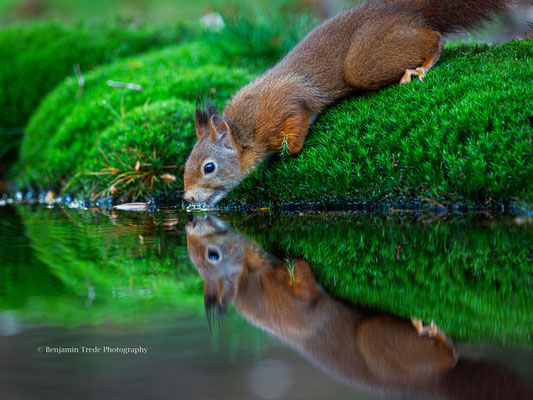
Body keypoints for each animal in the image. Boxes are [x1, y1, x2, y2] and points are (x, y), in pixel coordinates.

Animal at [185, 0, 510, 205]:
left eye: (209, 167)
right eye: (186, 164)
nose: (186, 198)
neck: (245, 130)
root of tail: (400, 8)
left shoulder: (284, 105)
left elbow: (296, 125)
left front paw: (288, 149)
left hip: (365, 64)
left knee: (435, 37)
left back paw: (422, 67)